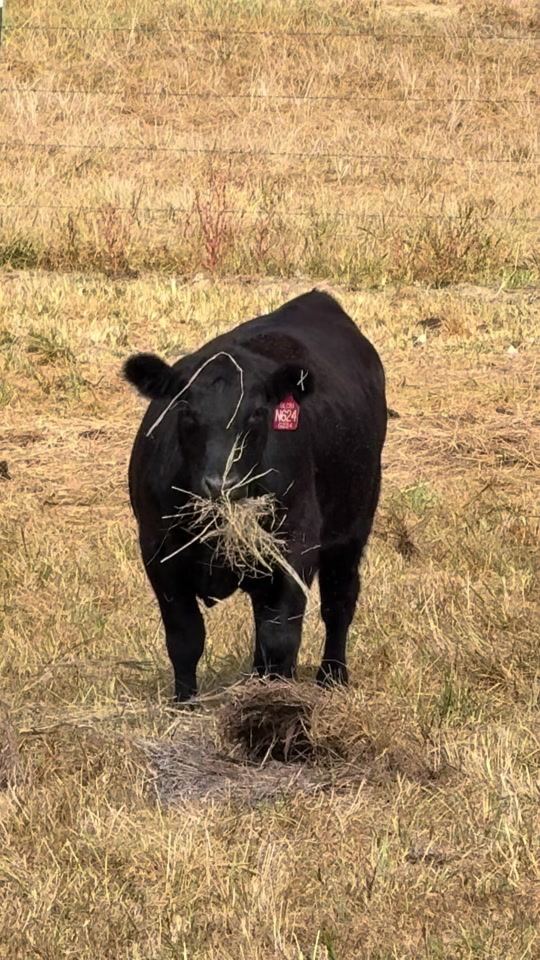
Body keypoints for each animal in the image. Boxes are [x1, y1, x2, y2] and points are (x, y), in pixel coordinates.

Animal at [124, 290, 387, 701]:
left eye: (257, 413)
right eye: (185, 410)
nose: (222, 485)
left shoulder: (295, 543)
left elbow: (281, 636)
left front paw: (276, 703)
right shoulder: (158, 550)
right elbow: (185, 636)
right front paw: (185, 703)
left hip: (353, 525)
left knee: (338, 602)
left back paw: (332, 677)